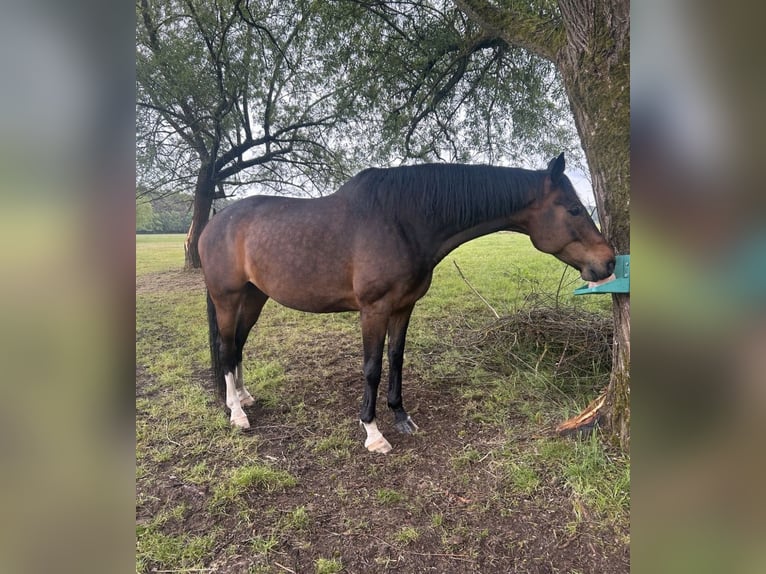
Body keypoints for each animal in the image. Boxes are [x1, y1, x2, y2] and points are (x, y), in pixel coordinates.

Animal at [199, 153, 615, 453]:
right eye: (573, 209)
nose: (609, 261)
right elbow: (372, 368)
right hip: (227, 297)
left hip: (255, 296)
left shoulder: (403, 307)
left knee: (238, 346)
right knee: (226, 346)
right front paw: (373, 432)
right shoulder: (374, 309)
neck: (402, 220)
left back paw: (244, 397)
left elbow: (396, 359)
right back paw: (237, 414)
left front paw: (401, 416)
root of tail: (215, 222)